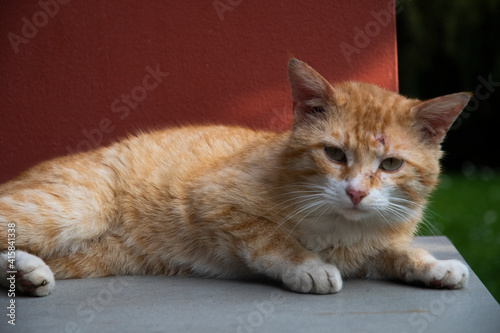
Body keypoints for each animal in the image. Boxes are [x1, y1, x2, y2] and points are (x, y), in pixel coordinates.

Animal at [0, 58, 468, 294]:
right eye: (334, 154)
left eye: (390, 164)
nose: (355, 192)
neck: (342, 228)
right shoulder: (213, 200)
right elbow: (270, 238)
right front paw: (309, 267)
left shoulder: (374, 249)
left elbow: (397, 254)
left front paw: (434, 265)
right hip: (72, 209)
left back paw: (26, 273)